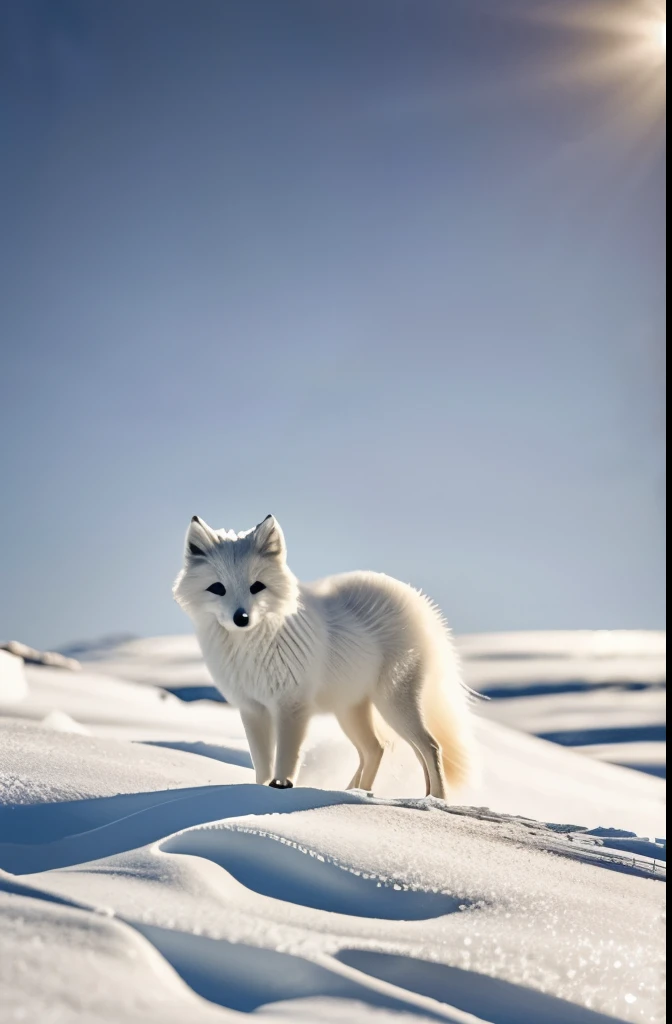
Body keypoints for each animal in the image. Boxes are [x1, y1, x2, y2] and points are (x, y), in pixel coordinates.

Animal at [174, 512, 477, 798]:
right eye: (218, 588)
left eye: (256, 586)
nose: (241, 618)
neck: (250, 648)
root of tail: (419, 602)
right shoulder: (252, 708)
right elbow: (262, 764)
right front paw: (259, 791)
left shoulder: (291, 705)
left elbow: (286, 759)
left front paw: (280, 788)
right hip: (351, 710)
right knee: (376, 748)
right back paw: (359, 792)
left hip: (393, 703)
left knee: (430, 746)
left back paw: (436, 800)